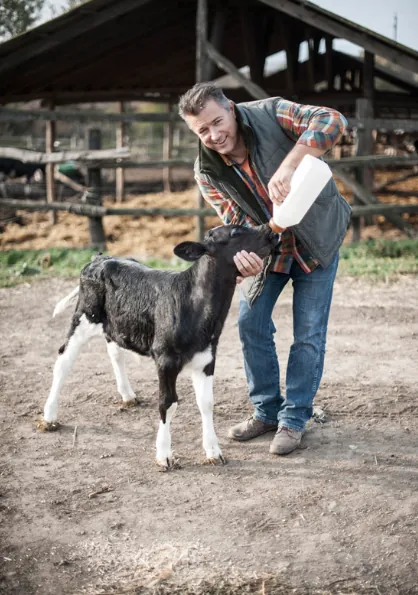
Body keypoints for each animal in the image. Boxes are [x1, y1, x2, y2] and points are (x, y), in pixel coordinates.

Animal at [39, 224, 280, 469]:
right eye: (234, 233)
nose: (271, 231)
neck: (196, 307)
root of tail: (101, 258)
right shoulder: (166, 359)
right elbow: (167, 403)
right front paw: (164, 455)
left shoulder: (206, 357)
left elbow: (207, 403)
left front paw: (213, 451)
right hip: (84, 317)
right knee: (63, 360)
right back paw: (49, 417)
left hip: (115, 323)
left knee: (114, 350)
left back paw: (128, 395)